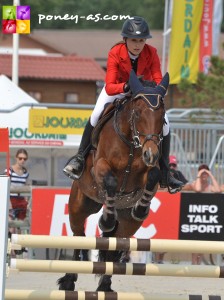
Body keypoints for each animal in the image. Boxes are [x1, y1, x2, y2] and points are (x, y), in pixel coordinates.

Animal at [57, 69, 169, 290]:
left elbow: (154, 175)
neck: (132, 142)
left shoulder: (149, 171)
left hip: (128, 223)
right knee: (78, 236)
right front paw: (106, 220)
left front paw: (141, 209)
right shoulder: (99, 167)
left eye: (162, 116)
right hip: (79, 205)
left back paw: (105, 286)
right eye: (138, 113)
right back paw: (69, 280)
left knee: (117, 244)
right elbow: (109, 181)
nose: (151, 154)